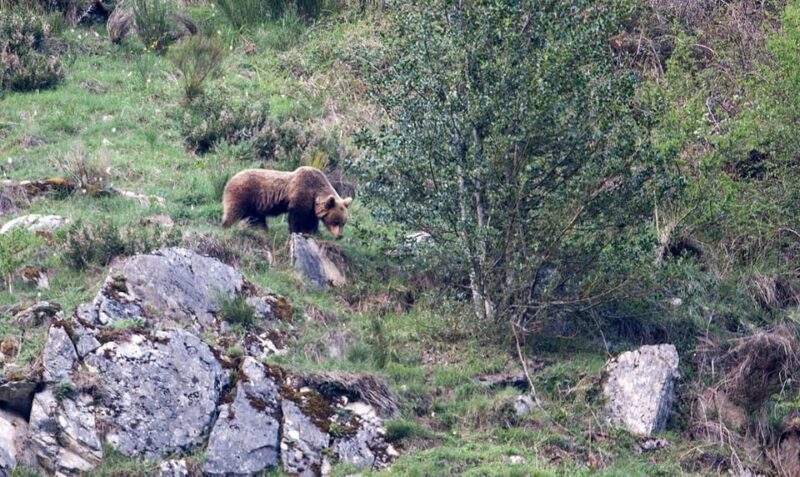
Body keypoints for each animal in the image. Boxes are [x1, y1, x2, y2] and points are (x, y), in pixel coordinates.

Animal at [221, 166, 353, 238]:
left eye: (343, 223)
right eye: (336, 222)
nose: (340, 235)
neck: (316, 192)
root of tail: (230, 180)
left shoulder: (312, 206)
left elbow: (311, 220)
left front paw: (312, 232)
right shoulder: (301, 192)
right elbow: (297, 217)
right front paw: (298, 231)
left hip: (255, 205)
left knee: (256, 218)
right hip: (243, 193)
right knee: (234, 211)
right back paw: (227, 226)